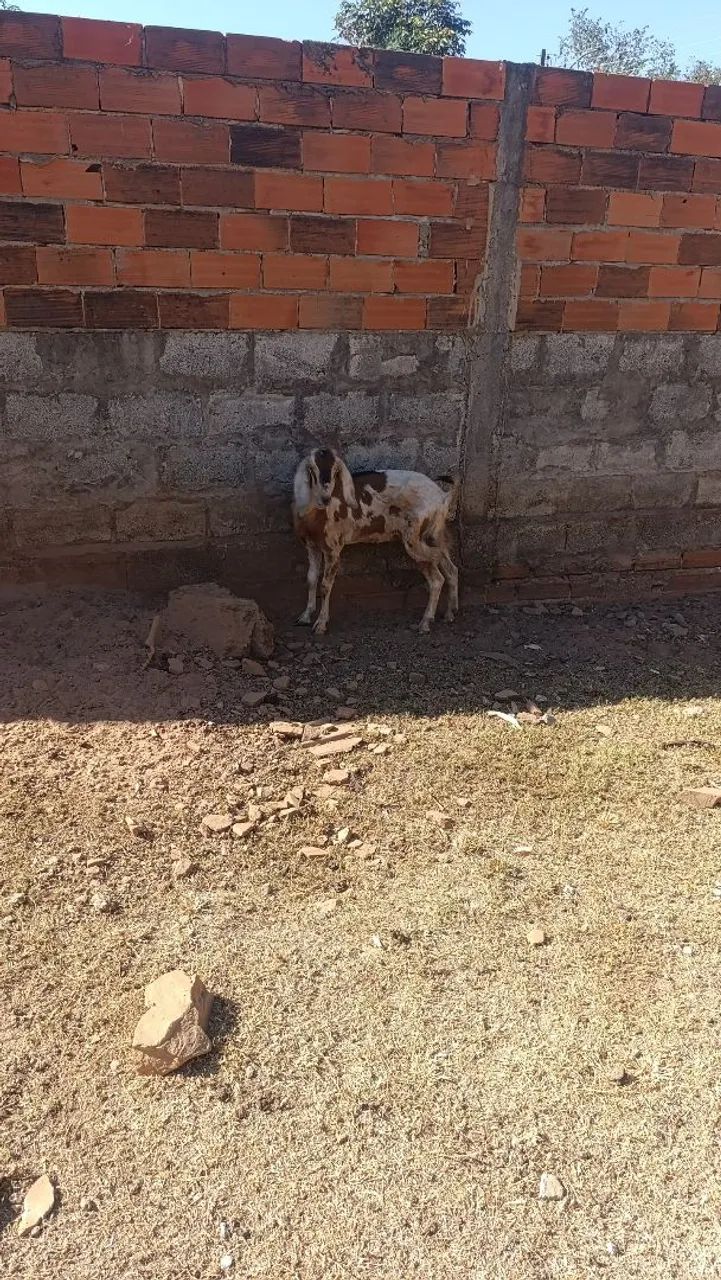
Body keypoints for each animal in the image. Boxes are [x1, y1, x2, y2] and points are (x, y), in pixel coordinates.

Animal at [292, 447, 459, 634]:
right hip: (432, 535)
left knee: (437, 579)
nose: (325, 498)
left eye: (336, 471)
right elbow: (311, 578)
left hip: (415, 540)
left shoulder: (332, 548)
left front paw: (321, 624)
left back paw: (425, 622)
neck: (316, 514)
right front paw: (305, 616)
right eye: (312, 469)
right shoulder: (311, 545)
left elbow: (325, 585)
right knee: (450, 568)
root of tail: (443, 496)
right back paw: (450, 613)